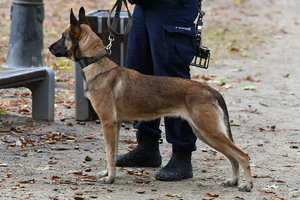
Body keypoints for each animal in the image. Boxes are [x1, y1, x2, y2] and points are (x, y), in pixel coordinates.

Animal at [49, 7, 253, 192]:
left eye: (63, 36)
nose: (49, 47)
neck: (98, 65)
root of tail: (211, 90)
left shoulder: (107, 123)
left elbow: (108, 153)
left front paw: (110, 178)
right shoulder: (115, 125)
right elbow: (112, 153)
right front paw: (109, 173)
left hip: (209, 131)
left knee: (242, 155)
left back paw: (247, 184)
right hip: (204, 132)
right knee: (233, 156)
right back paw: (233, 181)